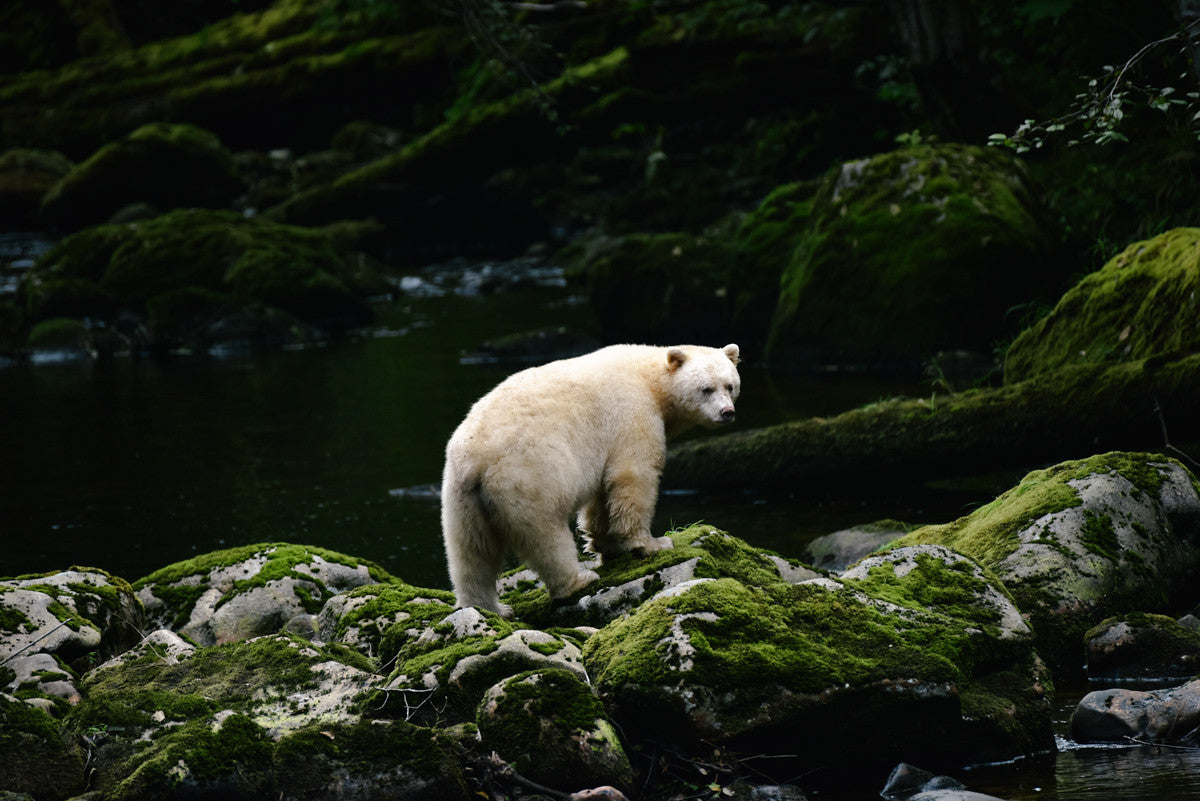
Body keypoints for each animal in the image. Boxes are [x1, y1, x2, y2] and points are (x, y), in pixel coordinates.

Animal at [441, 340, 739, 618]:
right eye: (706, 388)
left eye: (730, 386)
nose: (728, 412)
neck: (651, 381)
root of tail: (476, 459)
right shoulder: (634, 414)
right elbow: (633, 474)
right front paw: (652, 544)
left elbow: (601, 494)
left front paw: (608, 546)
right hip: (527, 476)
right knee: (545, 535)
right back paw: (577, 581)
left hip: (462, 497)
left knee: (471, 551)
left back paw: (488, 607)